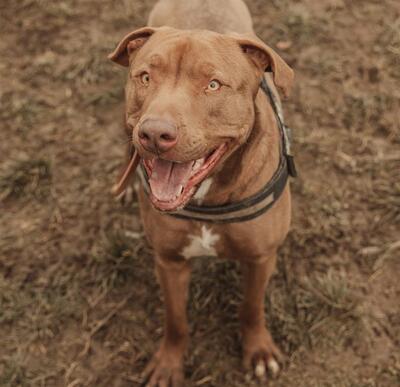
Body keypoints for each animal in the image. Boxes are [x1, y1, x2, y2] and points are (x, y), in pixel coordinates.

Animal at [108, 0, 294, 384]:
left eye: (213, 85)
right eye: (146, 77)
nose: (154, 134)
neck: (210, 197)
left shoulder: (262, 257)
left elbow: (252, 307)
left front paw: (259, 351)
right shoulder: (169, 261)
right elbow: (175, 320)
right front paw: (168, 364)